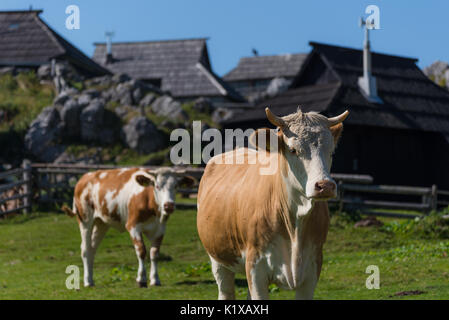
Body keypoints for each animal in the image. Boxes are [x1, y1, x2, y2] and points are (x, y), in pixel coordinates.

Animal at [62, 168, 194, 288]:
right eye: (157, 186)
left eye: (176, 186)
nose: (168, 205)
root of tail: (85, 177)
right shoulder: (133, 226)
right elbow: (141, 251)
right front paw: (141, 279)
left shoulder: (160, 229)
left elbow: (154, 253)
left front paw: (155, 279)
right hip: (85, 220)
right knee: (85, 249)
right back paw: (87, 282)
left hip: (102, 223)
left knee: (92, 249)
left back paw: (90, 279)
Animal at [196, 107, 346, 300]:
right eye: (293, 149)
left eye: (331, 151)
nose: (325, 186)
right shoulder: (256, 267)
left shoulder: (313, 267)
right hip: (218, 258)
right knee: (225, 290)